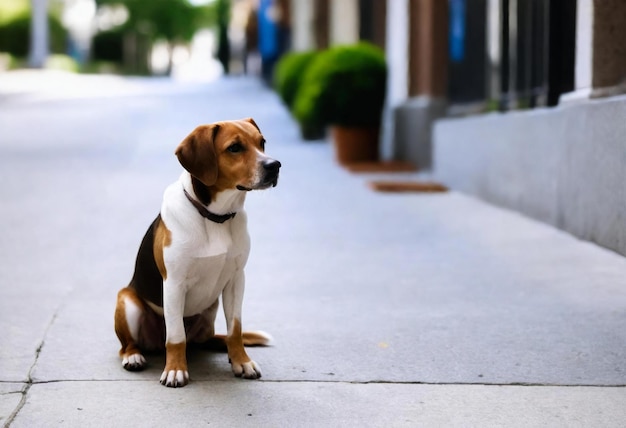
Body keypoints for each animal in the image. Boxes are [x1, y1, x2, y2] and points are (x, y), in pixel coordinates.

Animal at [113, 118, 280, 388]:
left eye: (262, 142)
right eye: (234, 148)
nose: (275, 166)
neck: (216, 217)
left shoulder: (236, 280)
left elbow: (235, 330)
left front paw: (241, 361)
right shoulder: (174, 284)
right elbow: (176, 336)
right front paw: (175, 370)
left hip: (209, 312)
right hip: (127, 301)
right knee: (129, 344)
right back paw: (134, 356)